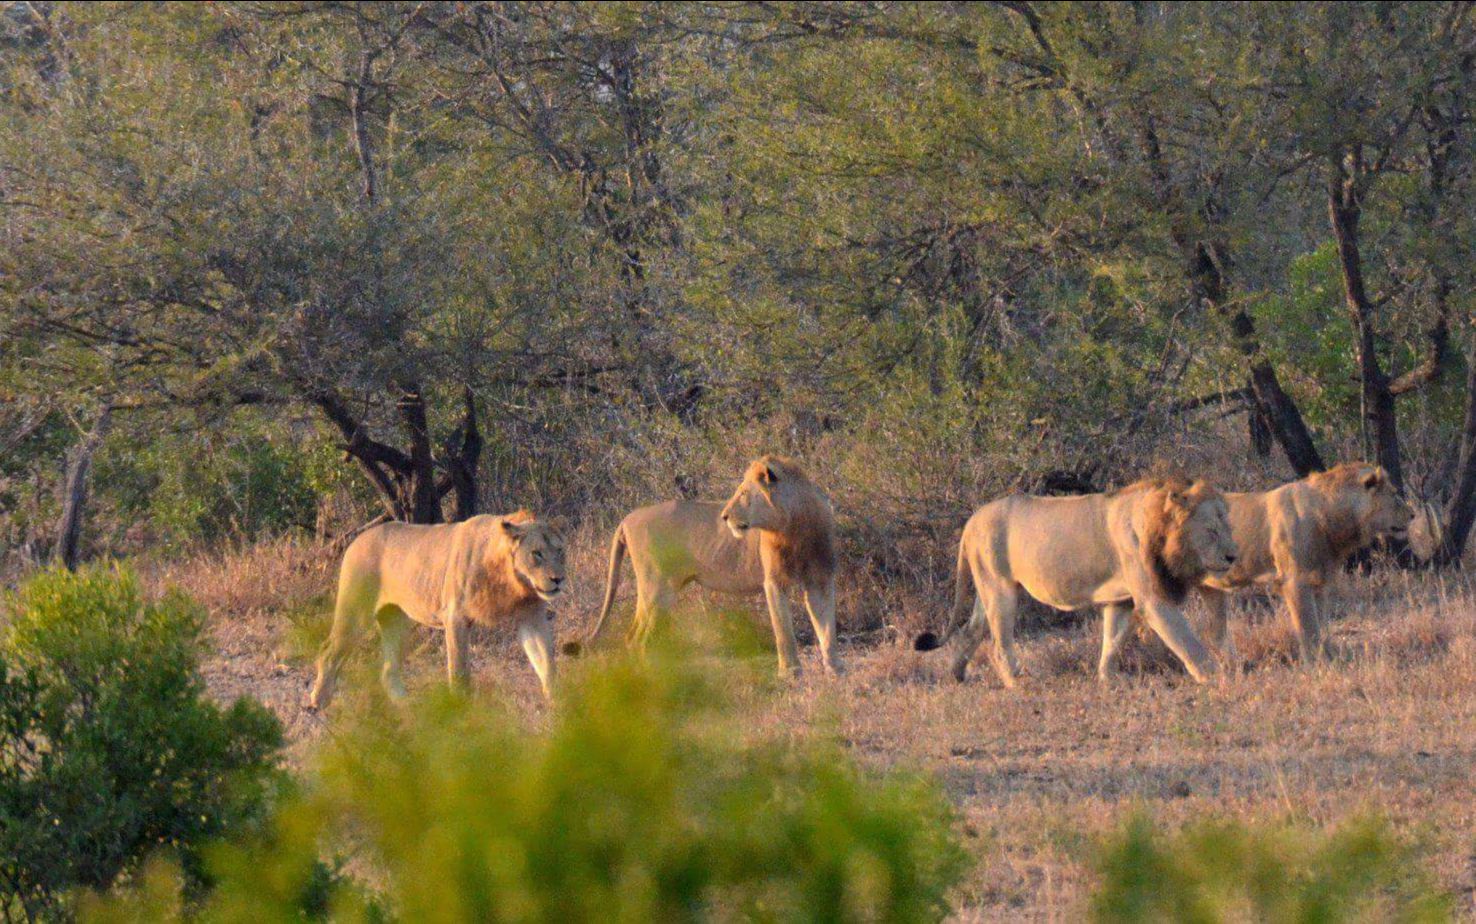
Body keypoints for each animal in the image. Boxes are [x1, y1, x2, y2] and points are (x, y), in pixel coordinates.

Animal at [305, 507, 563, 708]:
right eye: (536, 553)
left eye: (560, 550)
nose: (558, 579)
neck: (512, 581)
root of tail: (358, 538)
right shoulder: (456, 616)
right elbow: (459, 669)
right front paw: (461, 708)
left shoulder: (531, 617)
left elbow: (546, 662)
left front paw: (556, 704)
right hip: (356, 611)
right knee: (329, 651)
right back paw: (318, 702)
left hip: (396, 621)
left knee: (388, 669)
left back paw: (406, 706)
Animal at [569, 457, 838, 673]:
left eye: (743, 493)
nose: (724, 517)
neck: (794, 526)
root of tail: (627, 518)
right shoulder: (773, 581)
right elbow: (784, 631)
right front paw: (790, 673)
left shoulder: (820, 579)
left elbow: (827, 629)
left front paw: (835, 671)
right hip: (658, 590)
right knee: (639, 640)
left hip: (653, 591)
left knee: (631, 636)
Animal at [915, 475, 1239, 684]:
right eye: (1211, 531)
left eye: (1228, 527)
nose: (1233, 556)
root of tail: (972, 520)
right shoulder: (1153, 600)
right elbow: (1186, 641)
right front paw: (1216, 677)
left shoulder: (1121, 600)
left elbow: (1113, 639)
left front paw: (1109, 680)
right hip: (1000, 590)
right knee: (998, 645)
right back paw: (1019, 683)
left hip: (987, 589)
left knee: (969, 631)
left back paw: (957, 675)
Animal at [1192, 460, 1411, 661]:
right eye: (1394, 495)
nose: (1413, 515)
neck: (1331, 514)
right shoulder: (1294, 581)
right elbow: (1308, 629)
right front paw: (1317, 666)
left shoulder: (1320, 583)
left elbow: (1321, 626)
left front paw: (1330, 658)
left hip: (1211, 589)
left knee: (1216, 634)